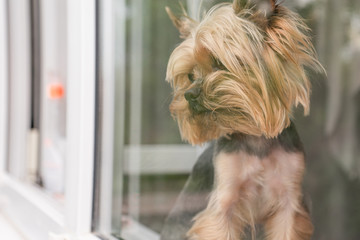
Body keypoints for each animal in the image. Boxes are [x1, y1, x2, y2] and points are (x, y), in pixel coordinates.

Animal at [166, 0, 324, 240]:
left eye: (219, 64)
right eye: (190, 76)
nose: (189, 95)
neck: (256, 138)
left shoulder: (289, 199)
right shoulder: (224, 201)